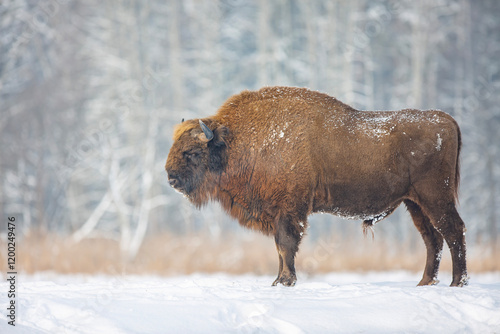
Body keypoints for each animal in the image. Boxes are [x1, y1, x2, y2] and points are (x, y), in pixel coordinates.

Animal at [165, 86, 468, 288]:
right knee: (432, 238)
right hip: (414, 203)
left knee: (453, 231)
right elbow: (278, 247)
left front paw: (286, 281)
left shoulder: (290, 209)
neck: (239, 140)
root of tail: (446, 120)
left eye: (192, 152)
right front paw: (277, 280)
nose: (170, 177)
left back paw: (457, 283)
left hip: (434, 197)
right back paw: (425, 283)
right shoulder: (277, 212)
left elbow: (286, 244)